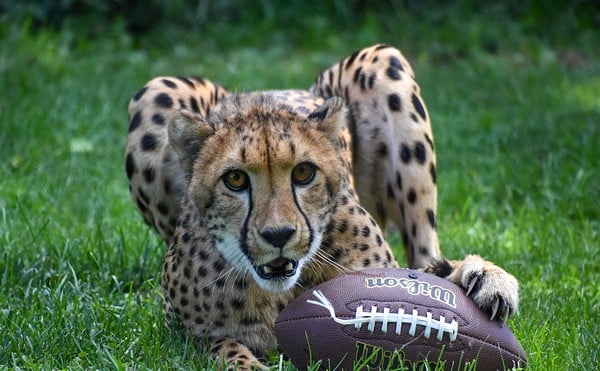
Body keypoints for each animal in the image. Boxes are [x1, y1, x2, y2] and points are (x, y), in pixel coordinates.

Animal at [124, 45, 516, 370]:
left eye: (303, 173)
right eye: (234, 179)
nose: (278, 235)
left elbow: (418, 278)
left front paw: (481, 277)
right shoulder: (178, 331)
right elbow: (226, 347)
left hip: (383, 60)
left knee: (425, 255)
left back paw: (481, 275)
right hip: (155, 91)